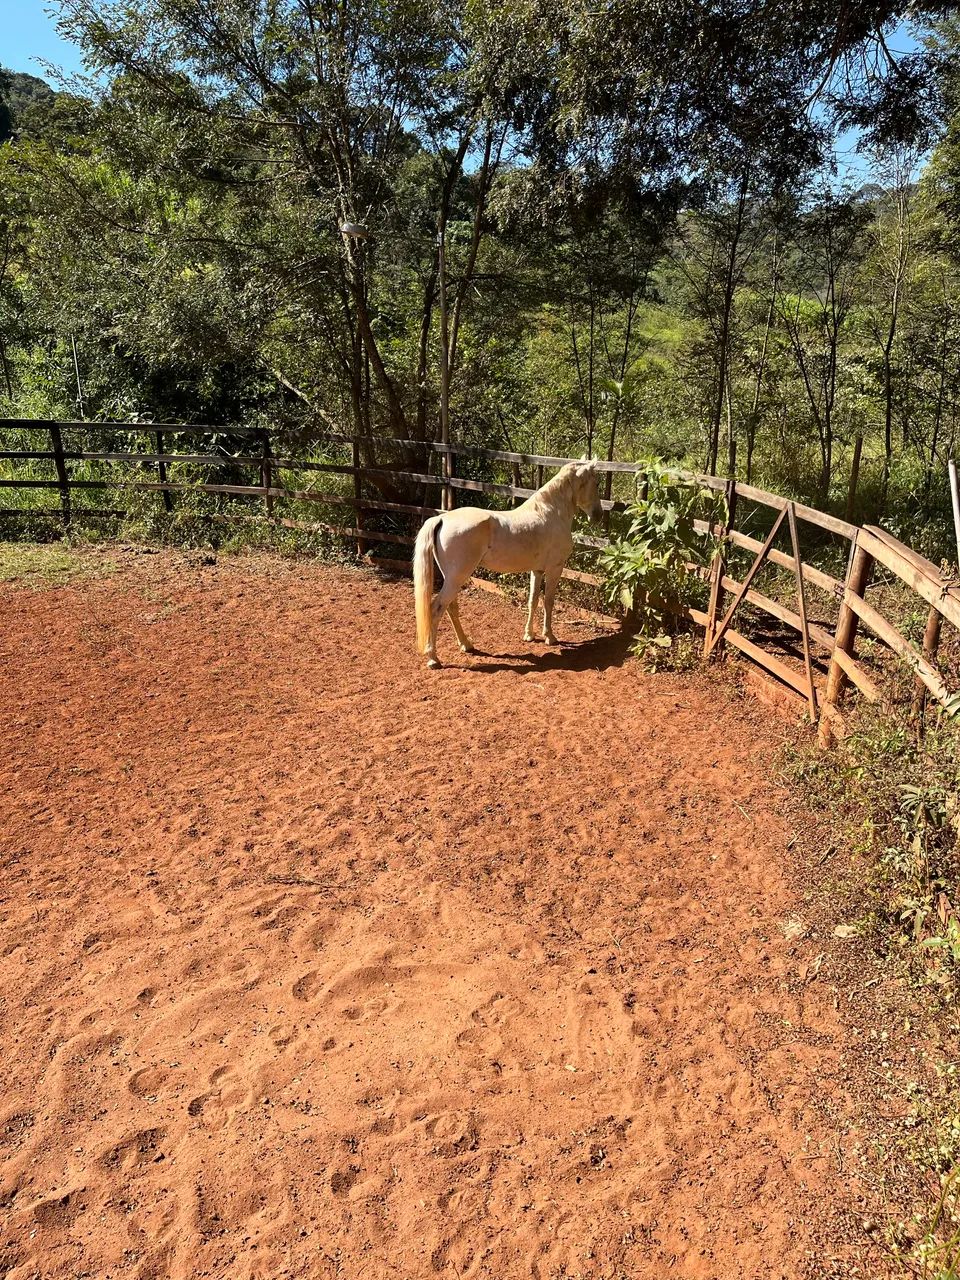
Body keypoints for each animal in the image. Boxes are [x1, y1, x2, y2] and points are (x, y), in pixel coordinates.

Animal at [413, 459, 603, 668]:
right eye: (596, 483)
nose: (598, 515)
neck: (550, 512)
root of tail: (441, 518)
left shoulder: (537, 571)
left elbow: (533, 600)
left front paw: (529, 635)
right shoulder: (555, 568)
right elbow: (548, 602)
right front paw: (550, 637)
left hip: (452, 578)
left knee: (451, 608)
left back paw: (466, 645)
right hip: (457, 577)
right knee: (436, 609)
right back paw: (433, 658)